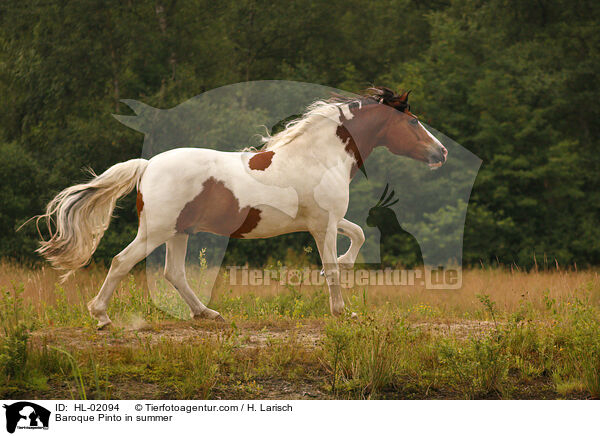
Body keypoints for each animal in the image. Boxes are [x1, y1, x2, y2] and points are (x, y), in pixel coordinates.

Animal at [32, 86, 446, 328]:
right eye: (412, 122)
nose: (440, 152)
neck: (319, 155)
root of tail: (148, 165)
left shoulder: (326, 220)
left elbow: (357, 235)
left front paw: (345, 268)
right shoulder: (323, 224)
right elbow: (331, 268)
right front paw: (343, 312)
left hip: (178, 232)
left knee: (173, 273)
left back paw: (207, 313)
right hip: (157, 230)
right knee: (122, 262)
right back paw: (101, 316)